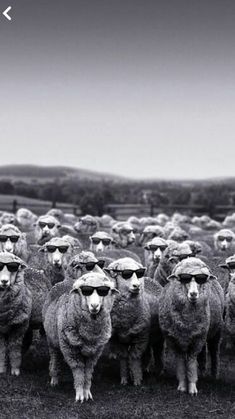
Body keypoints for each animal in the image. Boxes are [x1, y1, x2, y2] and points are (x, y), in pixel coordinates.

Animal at [42, 272, 117, 404]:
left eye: (103, 291)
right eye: (85, 291)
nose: (94, 305)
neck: (90, 333)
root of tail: (67, 280)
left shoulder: (94, 352)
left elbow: (87, 371)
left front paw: (87, 392)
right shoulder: (71, 350)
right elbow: (78, 370)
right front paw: (80, 394)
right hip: (53, 340)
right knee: (55, 358)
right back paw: (54, 379)